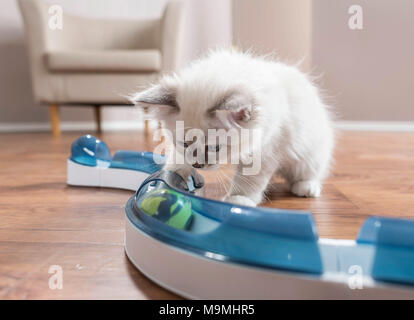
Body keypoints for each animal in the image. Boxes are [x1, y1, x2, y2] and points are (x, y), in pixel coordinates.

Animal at [131, 48, 334, 206]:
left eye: (214, 148)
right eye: (185, 144)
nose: (197, 165)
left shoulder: (266, 149)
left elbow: (249, 180)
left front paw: (239, 199)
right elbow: (178, 160)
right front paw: (172, 175)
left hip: (307, 156)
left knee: (310, 172)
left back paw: (306, 188)